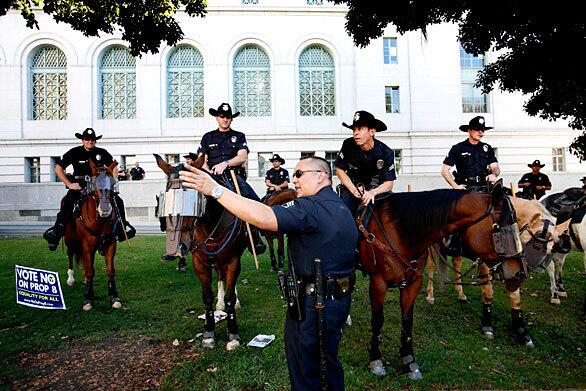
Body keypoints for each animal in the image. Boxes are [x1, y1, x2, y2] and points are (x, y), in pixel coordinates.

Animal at [63, 161, 121, 310]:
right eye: (93, 184)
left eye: (113, 183)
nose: (105, 210)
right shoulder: (86, 244)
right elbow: (90, 271)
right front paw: (88, 298)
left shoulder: (110, 243)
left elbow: (110, 270)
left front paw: (114, 296)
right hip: (69, 240)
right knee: (70, 254)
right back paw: (71, 278)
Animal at [153, 154, 249, 352]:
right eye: (167, 200)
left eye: (191, 197)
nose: (177, 249)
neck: (211, 224)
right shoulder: (200, 263)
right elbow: (207, 297)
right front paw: (209, 333)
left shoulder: (233, 260)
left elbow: (230, 296)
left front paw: (233, 334)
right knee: (219, 276)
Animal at [356, 182, 524, 382]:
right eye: (501, 230)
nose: (519, 272)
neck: (400, 231)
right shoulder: (378, 283)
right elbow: (378, 320)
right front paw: (376, 360)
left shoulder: (413, 283)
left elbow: (407, 321)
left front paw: (409, 361)